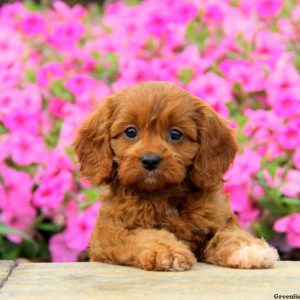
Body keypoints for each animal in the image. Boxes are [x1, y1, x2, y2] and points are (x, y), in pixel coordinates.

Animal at [73, 81, 278, 270]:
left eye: (175, 134)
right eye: (130, 132)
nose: (150, 160)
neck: (162, 195)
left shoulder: (218, 219)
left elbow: (228, 232)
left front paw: (248, 248)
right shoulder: (109, 233)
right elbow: (143, 234)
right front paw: (167, 250)